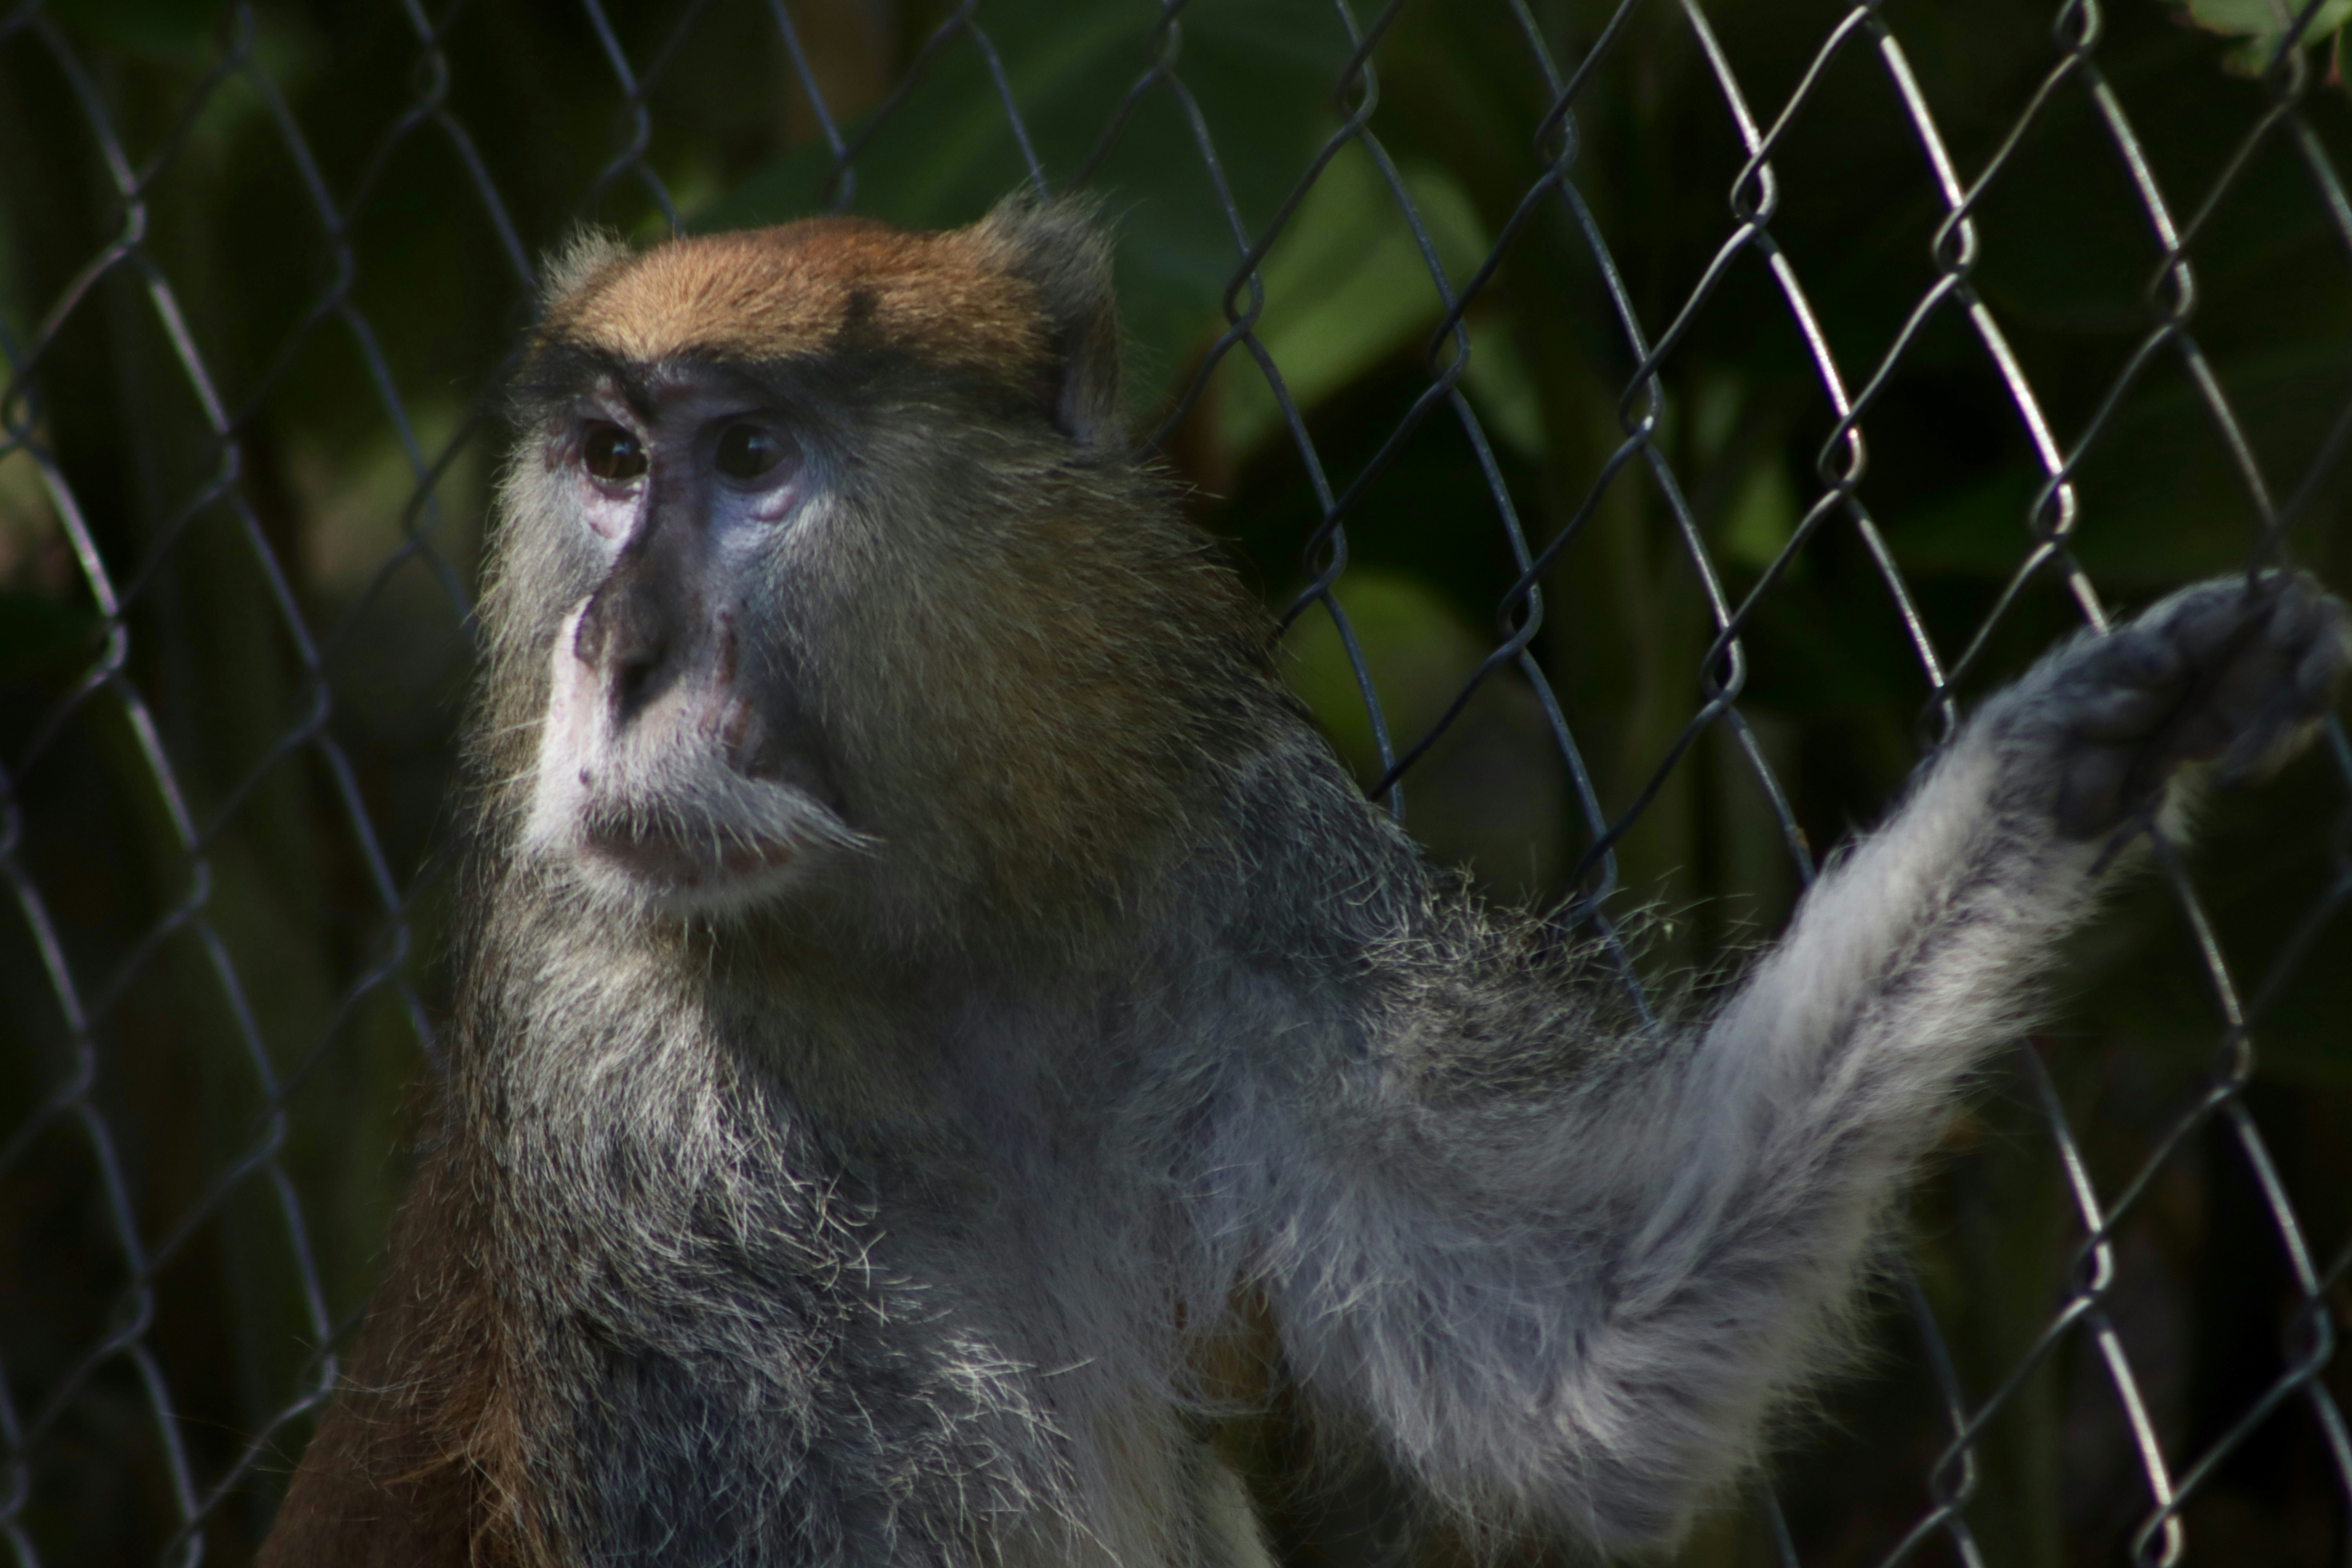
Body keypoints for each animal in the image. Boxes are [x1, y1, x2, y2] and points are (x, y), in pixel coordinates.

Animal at [257, 195, 2352, 1568]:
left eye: (753, 457)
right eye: (609, 459)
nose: (609, 650)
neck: (915, 960)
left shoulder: (1240, 892)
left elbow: (1593, 1356)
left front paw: (2088, 747)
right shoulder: (643, 1133)